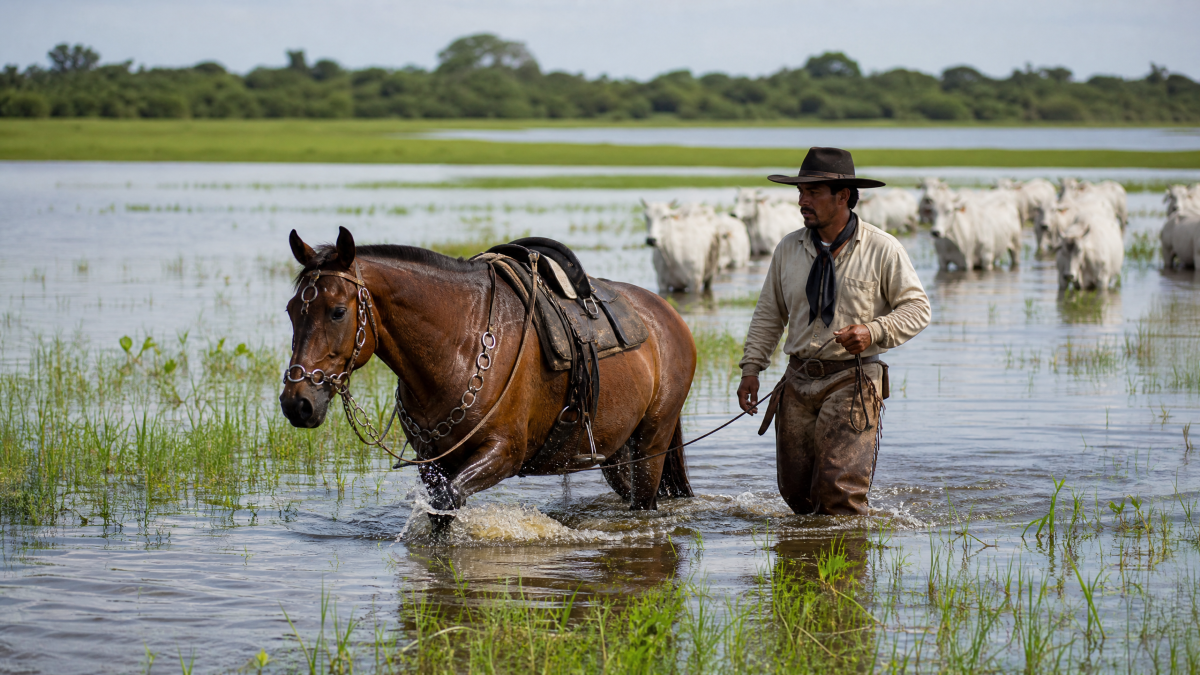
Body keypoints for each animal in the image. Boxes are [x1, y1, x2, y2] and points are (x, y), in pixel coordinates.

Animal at [279, 227, 697, 528]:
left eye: (337, 311)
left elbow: (447, 503)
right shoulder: (432, 463)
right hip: (617, 451)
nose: (297, 403)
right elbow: (439, 513)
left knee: (644, 502)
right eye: (291, 310)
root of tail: (668, 318)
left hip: (651, 441)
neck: (458, 346)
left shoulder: (504, 453)